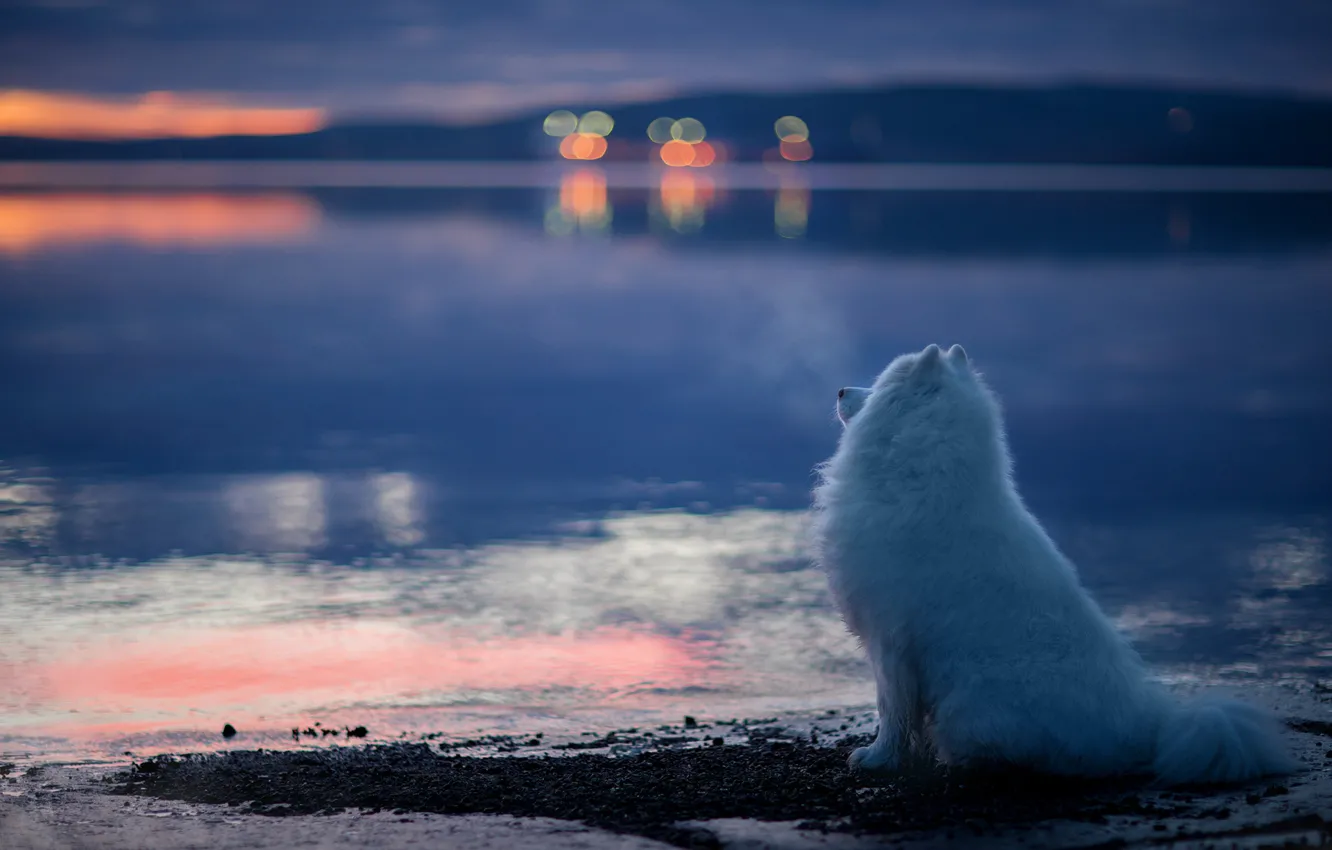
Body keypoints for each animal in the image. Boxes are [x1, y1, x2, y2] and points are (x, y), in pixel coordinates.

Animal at [804, 343, 1294, 788]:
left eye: (878, 384)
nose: (841, 389)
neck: (921, 476)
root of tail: (1153, 726)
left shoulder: (890, 638)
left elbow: (891, 708)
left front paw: (877, 759)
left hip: (974, 706)